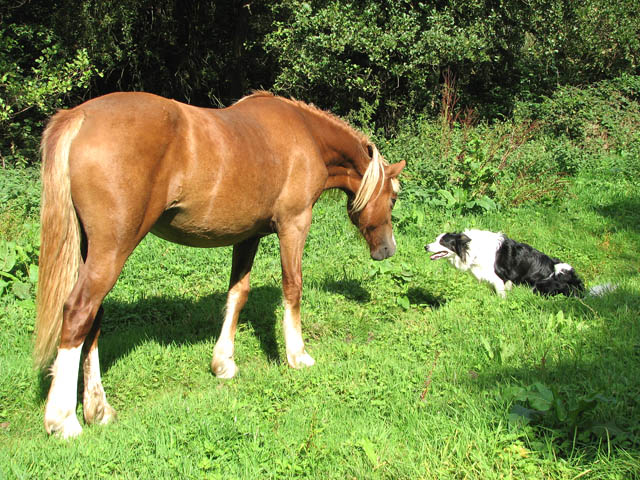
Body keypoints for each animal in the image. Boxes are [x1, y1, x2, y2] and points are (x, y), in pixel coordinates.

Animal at [35, 91, 402, 438]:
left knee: (94, 319)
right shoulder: (294, 224)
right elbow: (292, 287)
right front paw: (297, 356)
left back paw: (98, 409)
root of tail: (80, 116)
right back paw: (63, 420)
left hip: (92, 251)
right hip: (112, 250)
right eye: (394, 197)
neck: (306, 133)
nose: (388, 250)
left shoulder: (248, 236)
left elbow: (238, 294)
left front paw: (223, 363)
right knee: (79, 312)